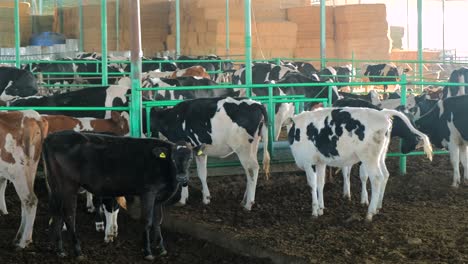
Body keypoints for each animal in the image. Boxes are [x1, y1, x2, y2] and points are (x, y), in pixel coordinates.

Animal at [0, 110, 48, 249]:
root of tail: (32, 115)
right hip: (30, 169)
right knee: (25, 202)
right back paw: (20, 237)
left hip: (17, 170)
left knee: (30, 200)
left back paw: (23, 242)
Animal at [43, 131, 204, 258]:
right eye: (173, 158)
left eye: (190, 158)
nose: (182, 178)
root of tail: (51, 137)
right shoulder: (148, 192)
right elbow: (147, 220)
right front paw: (147, 251)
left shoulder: (159, 197)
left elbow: (158, 221)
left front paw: (161, 248)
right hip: (68, 186)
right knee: (69, 215)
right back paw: (77, 251)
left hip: (55, 185)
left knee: (56, 213)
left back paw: (58, 250)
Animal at [286, 107, 432, 221]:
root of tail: (383, 113)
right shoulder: (320, 162)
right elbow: (320, 184)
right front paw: (321, 208)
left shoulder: (308, 162)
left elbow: (312, 185)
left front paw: (315, 211)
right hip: (380, 156)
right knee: (385, 175)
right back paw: (378, 206)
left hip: (369, 157)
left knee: (377, 178)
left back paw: (370, 213)